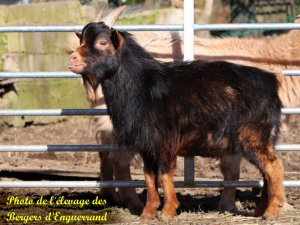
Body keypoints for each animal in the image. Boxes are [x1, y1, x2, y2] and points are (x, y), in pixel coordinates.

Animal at [68, 6, 286, 221]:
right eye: (81, 40)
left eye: (102, 42)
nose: (72, 59)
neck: (143, 85)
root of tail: (271, 81)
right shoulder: (147, 144)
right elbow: (149, 176)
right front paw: (148, 213)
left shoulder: (165, 141)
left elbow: (164, 174)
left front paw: (167, 211)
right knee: (266, 171)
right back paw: (261, 210)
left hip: (253, 136)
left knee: (274, 167)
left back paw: (272, 211)